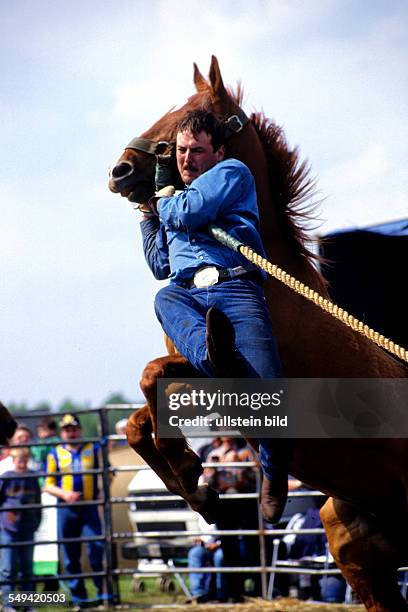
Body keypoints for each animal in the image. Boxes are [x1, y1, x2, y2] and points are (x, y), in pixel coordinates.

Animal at [110, 56, 408, 608]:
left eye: (190, 118)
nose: (119, 170)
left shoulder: (235, 376)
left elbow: (153, 381)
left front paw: (190, 471)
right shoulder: (196, 367)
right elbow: (140, 412)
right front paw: (197, 487)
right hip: (359, 549)